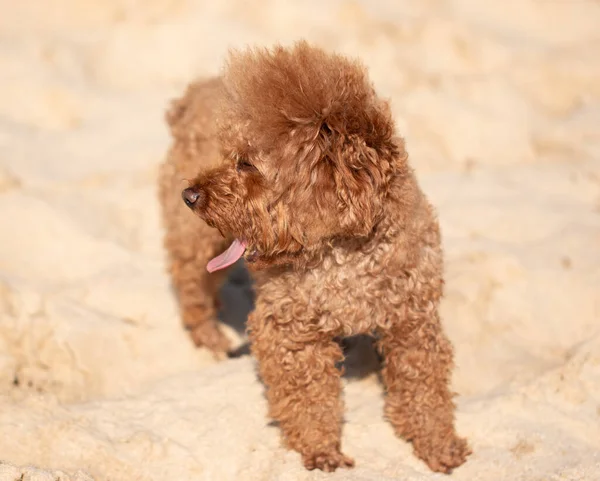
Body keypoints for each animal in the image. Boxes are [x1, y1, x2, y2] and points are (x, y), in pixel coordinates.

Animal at [157, 41, 472, 472]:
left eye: (246, 164)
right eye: (231, 156)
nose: (190, 195)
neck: (344, 252)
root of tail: (193, 94)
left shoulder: (413, 322)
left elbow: (425, 390)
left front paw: (439, 445)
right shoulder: (289, 331)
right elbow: (308, 400)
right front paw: (321, 450)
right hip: (196, 240)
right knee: (190, 284)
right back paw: (209, 337)